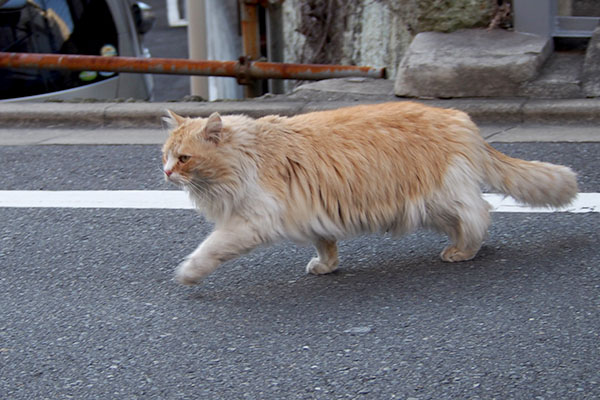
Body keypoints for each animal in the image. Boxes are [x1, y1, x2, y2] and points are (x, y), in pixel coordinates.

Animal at [162, 101, 580, 286]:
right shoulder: (313, 210)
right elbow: (325, 243)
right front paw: (327, 266)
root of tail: (459, 116)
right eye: (164, 155)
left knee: (480, 211)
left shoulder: (252, 219)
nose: (165, 172)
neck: (247, 158)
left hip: (435, 198)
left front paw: (189, 272)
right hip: (433, 203)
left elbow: (211, 247)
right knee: (472, 213)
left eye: (184, 158)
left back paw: (463, 250)